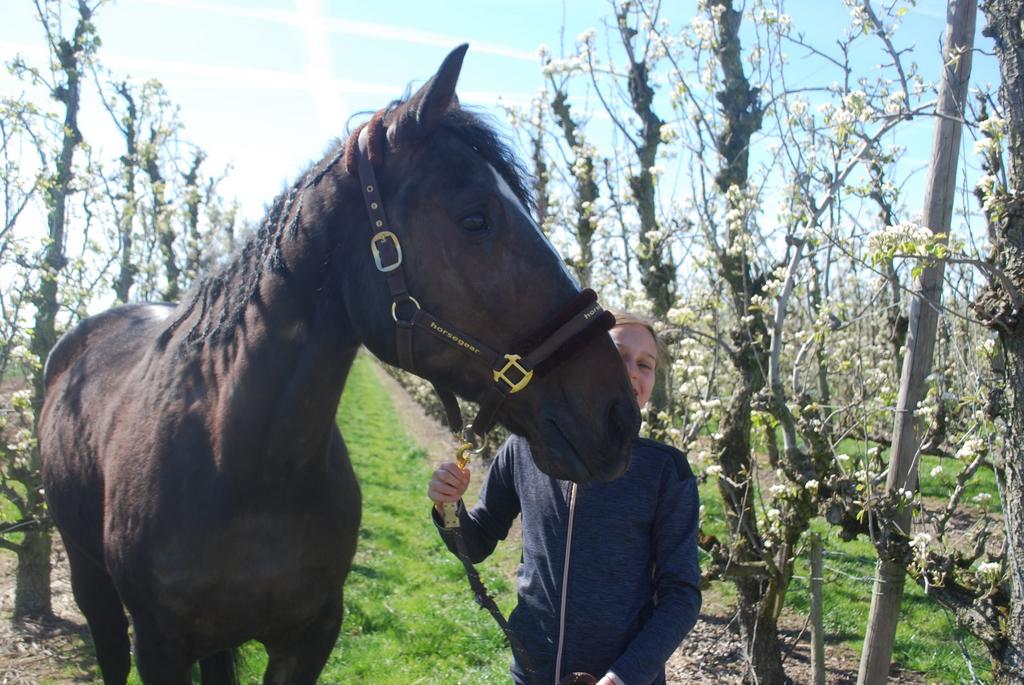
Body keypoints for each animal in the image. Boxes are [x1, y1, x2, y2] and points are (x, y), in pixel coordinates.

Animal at [37, 45, 640, 685]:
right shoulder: (159, 648)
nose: (619, 416)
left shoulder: (311, 637)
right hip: (91, 585)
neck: (246, 471)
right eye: (475, 218)